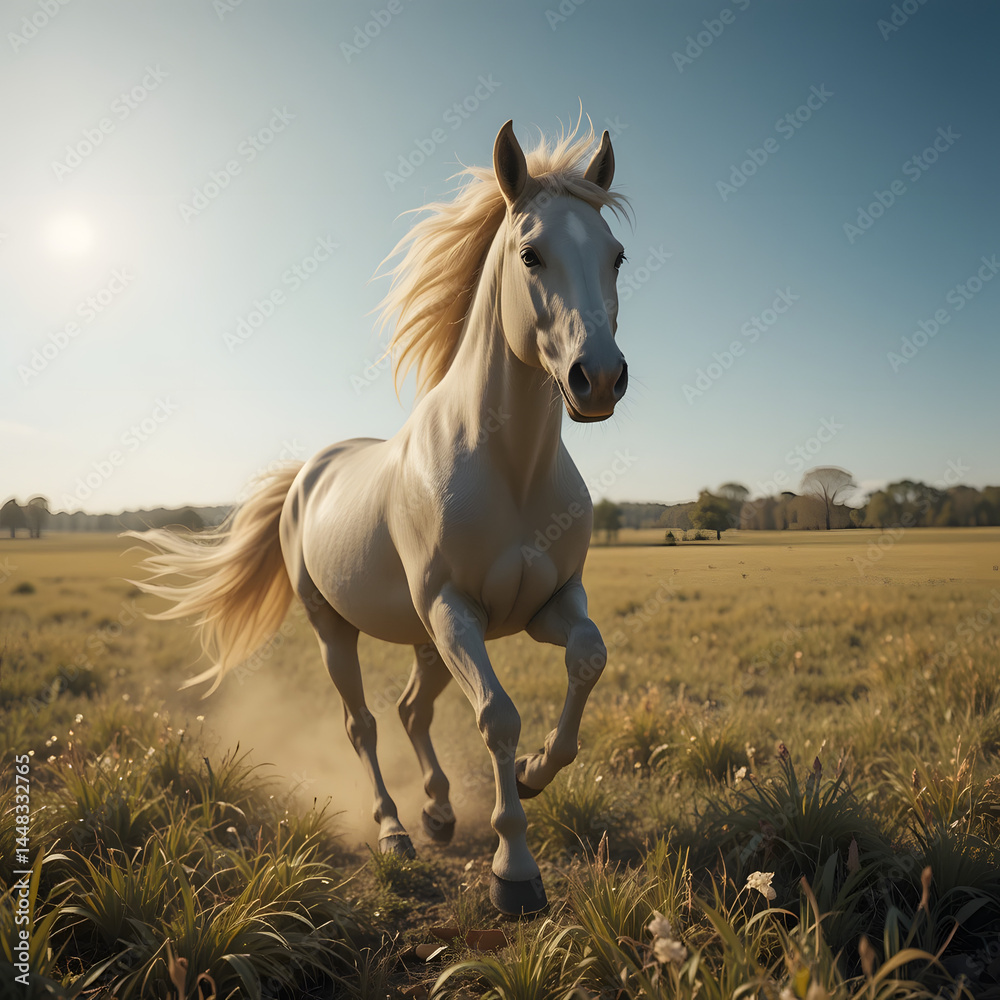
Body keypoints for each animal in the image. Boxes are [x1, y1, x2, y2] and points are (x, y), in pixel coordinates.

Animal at [131, 118, 631, 914]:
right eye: (531, 253)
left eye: (615, 255)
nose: (601, 378)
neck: (510, 466)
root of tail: (307, 473)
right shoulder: (456, 610)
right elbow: (497, 716)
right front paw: (514, 870)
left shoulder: (548, 603)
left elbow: (587, 658)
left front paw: (531, 774)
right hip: (342, 631)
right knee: (363, 723)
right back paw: (395, 829)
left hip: (427, 641)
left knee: (410, 711)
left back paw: (438, 811)